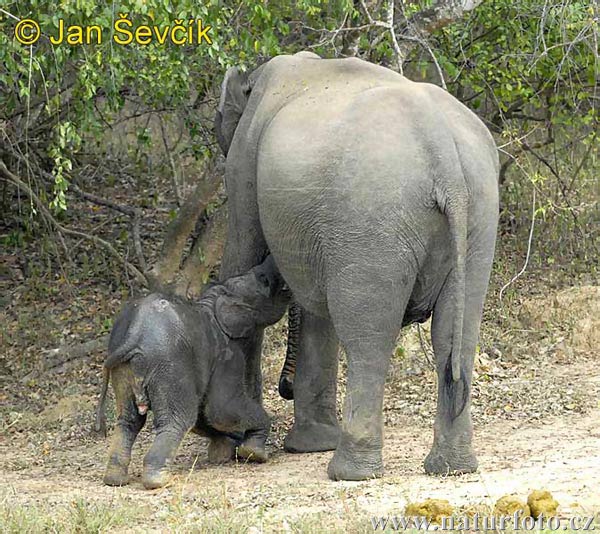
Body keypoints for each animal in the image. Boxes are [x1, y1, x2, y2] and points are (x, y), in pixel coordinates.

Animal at [95, 258, 290, 492]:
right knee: (178, 418)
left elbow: (204, 415)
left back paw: (115, 480)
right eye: (264, 280)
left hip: (123, 370)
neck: (217, 297)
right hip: (169, 364)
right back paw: (158, 481)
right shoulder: (227, 355)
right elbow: (220, 410)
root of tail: (134, 335)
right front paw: (254, 453)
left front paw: (223, 451)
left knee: (129, 421)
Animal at [213, 52, 500, 484]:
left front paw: (241, 450)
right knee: (455, 335)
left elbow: (242, 255)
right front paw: (306, 445)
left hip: (372, 218)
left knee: (369, 336)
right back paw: (452, 468)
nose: (285, 387)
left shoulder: (243, 160)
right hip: (478, 216)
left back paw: (349, 472)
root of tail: (443, 153)